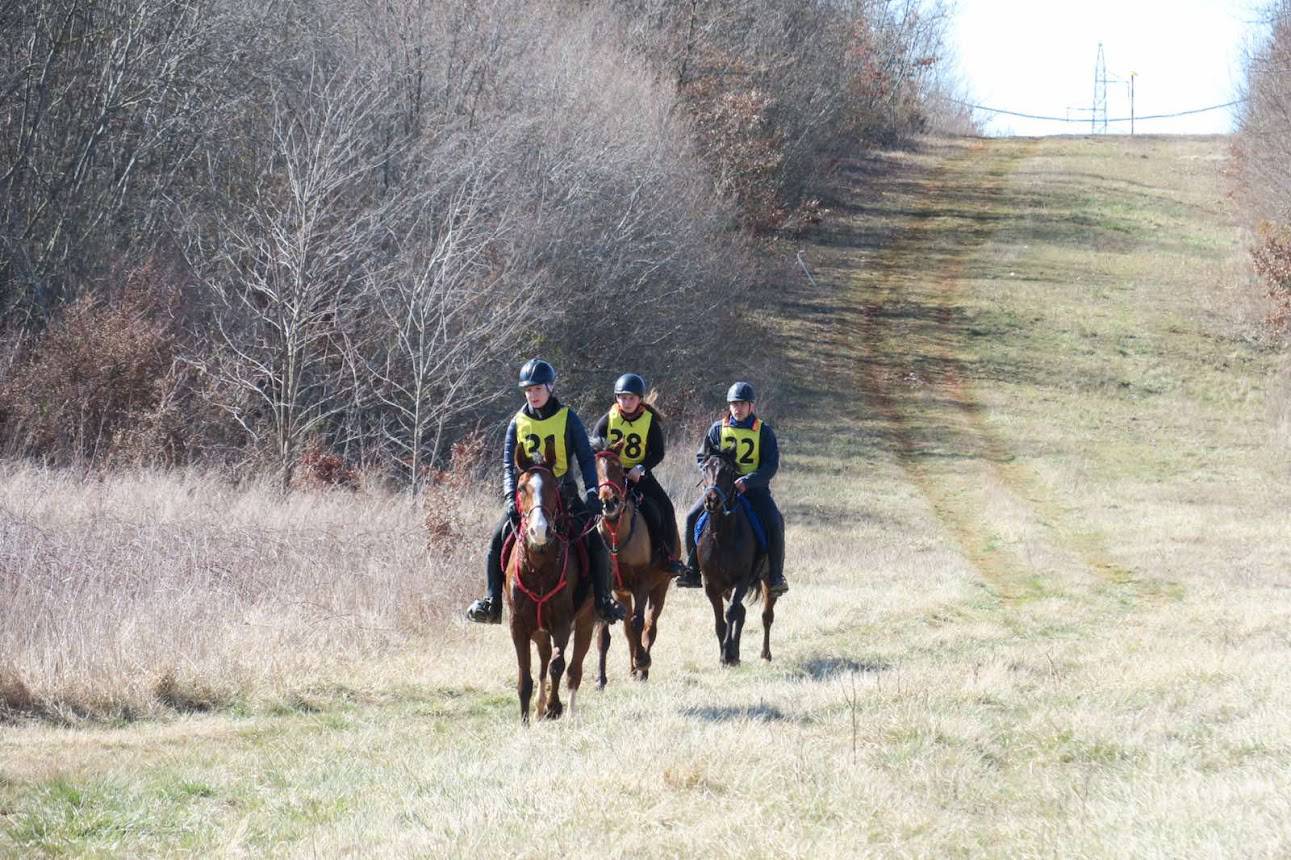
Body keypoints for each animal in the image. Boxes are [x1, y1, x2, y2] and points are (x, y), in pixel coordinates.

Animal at [508, 444, 599, 717]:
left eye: (553, 487)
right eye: (521, 488)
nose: (539, 530)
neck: (538, 568)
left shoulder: (561, 623)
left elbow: (558, 665)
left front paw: (554, 706)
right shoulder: (518, 626)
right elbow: (525, 678)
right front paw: (526, 719)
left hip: (586, 621)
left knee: (573, 669)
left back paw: (566, 712)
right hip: (539, 630)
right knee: (544, 657)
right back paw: (539, 707)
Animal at [593, 444, 676, 681]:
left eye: (618, 467)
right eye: (595, 469)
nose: (609, 502)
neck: (615, 533)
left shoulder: (642, 584)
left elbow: (638, 623)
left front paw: (641, 660)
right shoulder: (608, 589)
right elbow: (605, 633)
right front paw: (600, 678)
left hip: (661, 586)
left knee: (650, 626)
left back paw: (643, 668)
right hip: (623, 592)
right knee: (629, 630)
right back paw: (632, 670)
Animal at [697, 449, 774, 661]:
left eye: (729, 471)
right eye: (705, 468)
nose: (712, 500)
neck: (721, 535)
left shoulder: (742, 579)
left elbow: (730, 613)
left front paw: (726, 654)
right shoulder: (712, 584)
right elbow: (720, 621)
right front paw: (727, 655)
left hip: (767, 580)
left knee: (766, 615)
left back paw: (765, 654)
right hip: (725, 587)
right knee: (743, 611)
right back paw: (736, 655)